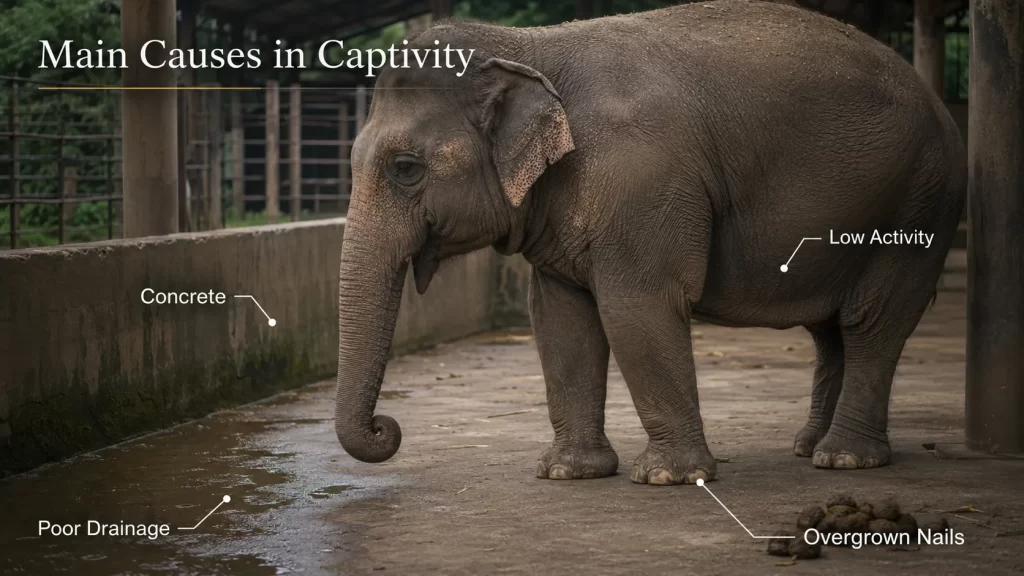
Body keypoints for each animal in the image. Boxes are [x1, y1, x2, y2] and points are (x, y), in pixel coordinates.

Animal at [334, 0, 966, 486]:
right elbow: (559, 317)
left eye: (406, 169)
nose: (388, 428)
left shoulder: (643, 179)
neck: (531, 49)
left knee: (871, 321)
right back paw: (809, 447)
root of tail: (939, 104)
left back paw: (845, 460)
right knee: (830, 330)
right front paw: (568, 473)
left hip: (919, 200)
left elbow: (636, 306)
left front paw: (669, 477)